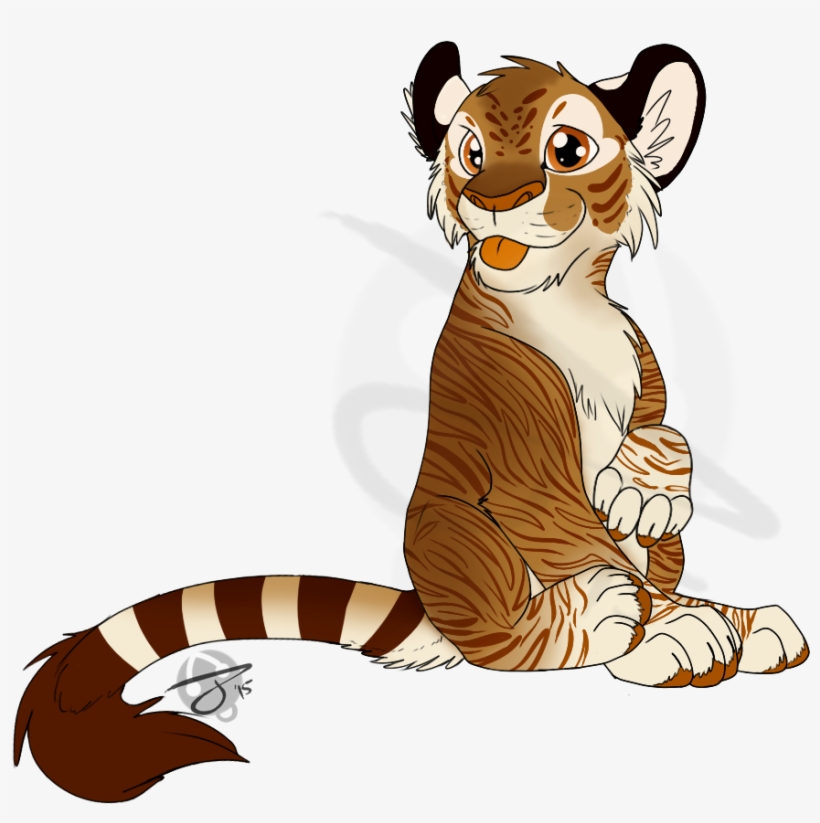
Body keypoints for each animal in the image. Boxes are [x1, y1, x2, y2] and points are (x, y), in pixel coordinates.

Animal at [13, 41, 809, 803]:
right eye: (473, 153)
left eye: (568, 149)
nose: (495, 198)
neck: (568, 300)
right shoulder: (523, 462)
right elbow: (574, 534)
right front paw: (665, 633)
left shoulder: (643, 375)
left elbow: (667, 442)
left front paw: (648, 495)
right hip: (451, 528)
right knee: (512, 637)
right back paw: (615, 619)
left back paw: (748, 622)